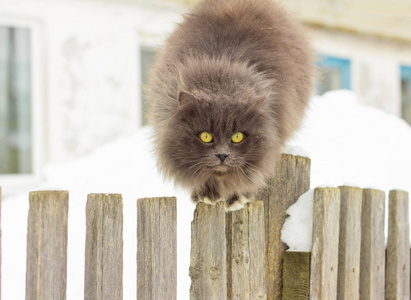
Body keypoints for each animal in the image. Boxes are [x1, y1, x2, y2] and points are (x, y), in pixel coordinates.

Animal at [146, 0, 314, 211]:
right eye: (206, 136)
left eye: (237, 136)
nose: (222, 155)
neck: (221, 76)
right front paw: (204, 194)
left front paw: (236, 197)